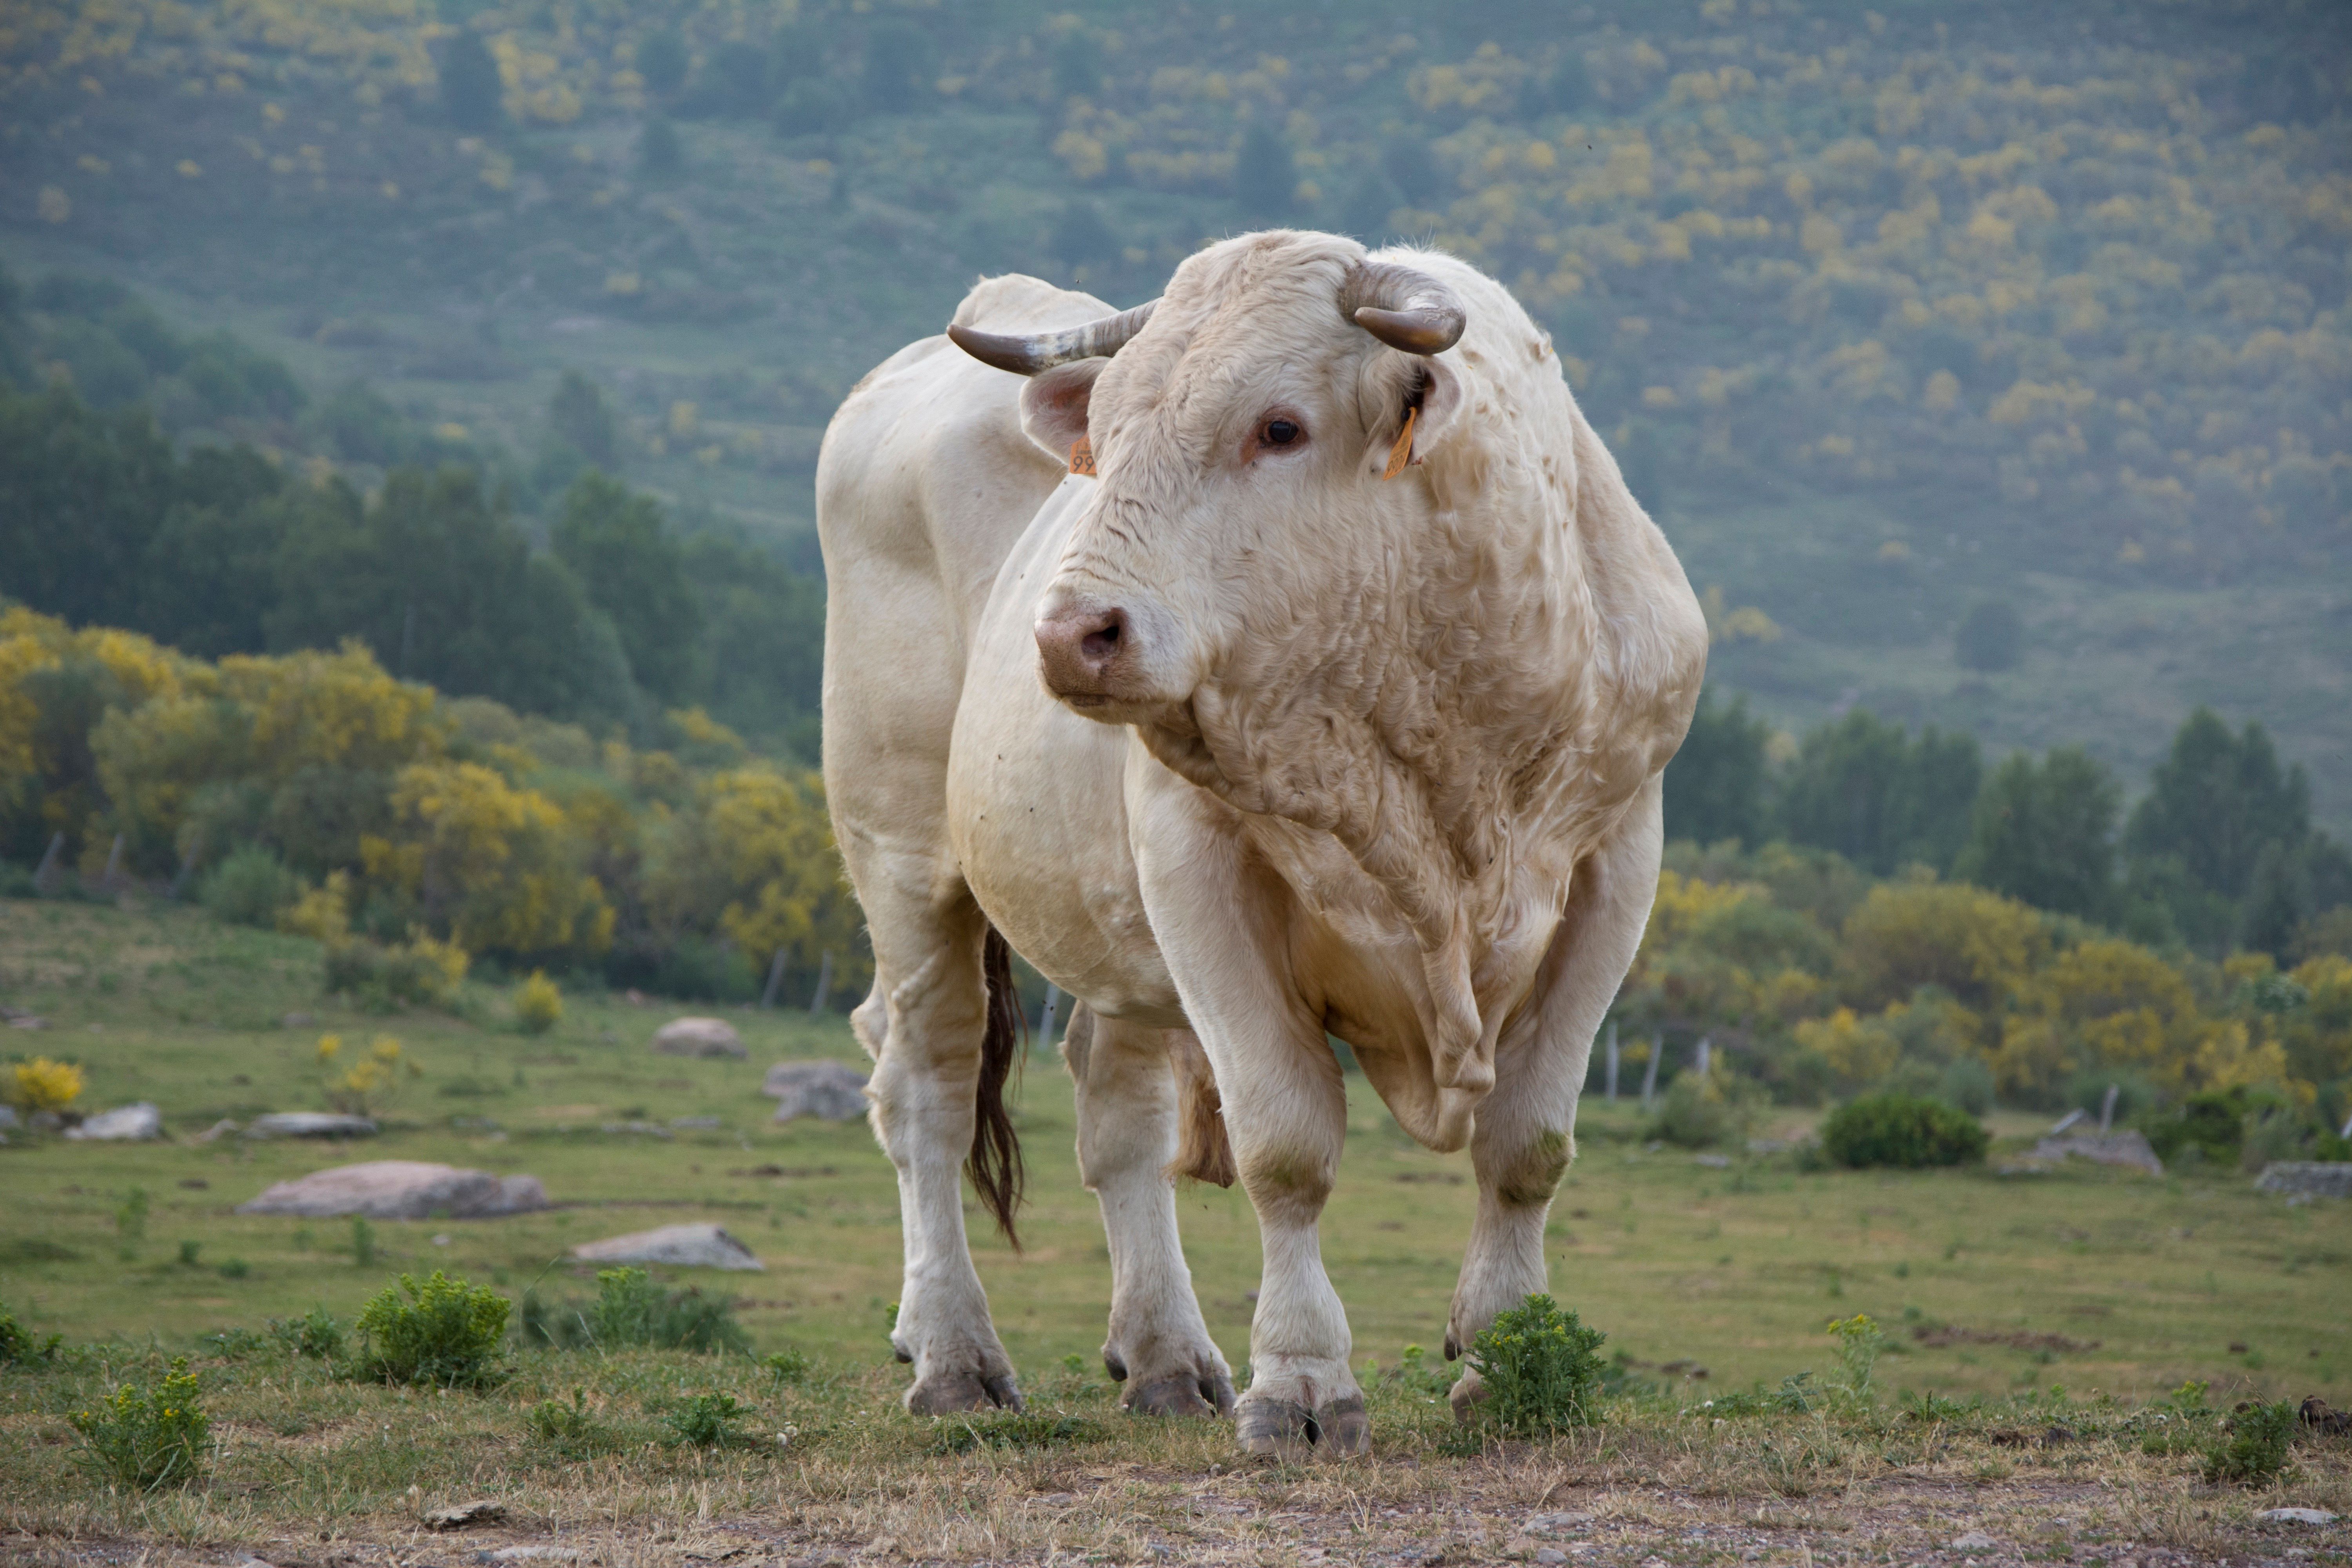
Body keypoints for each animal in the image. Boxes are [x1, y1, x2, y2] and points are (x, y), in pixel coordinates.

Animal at [817, 229, 1708, 1458]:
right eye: (1110, 433)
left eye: (1279, 426)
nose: (1072, 634)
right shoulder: (1202, 871)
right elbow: (1286, 1145)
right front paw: (1300, 1382)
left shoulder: (1613, 864)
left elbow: (1529, 1144)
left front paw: (1509, 1362)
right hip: (903, 851)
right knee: (927, 1086)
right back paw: (954, 1355)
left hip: (1107, 920)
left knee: (1117, 1110)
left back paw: (1163, 1356)